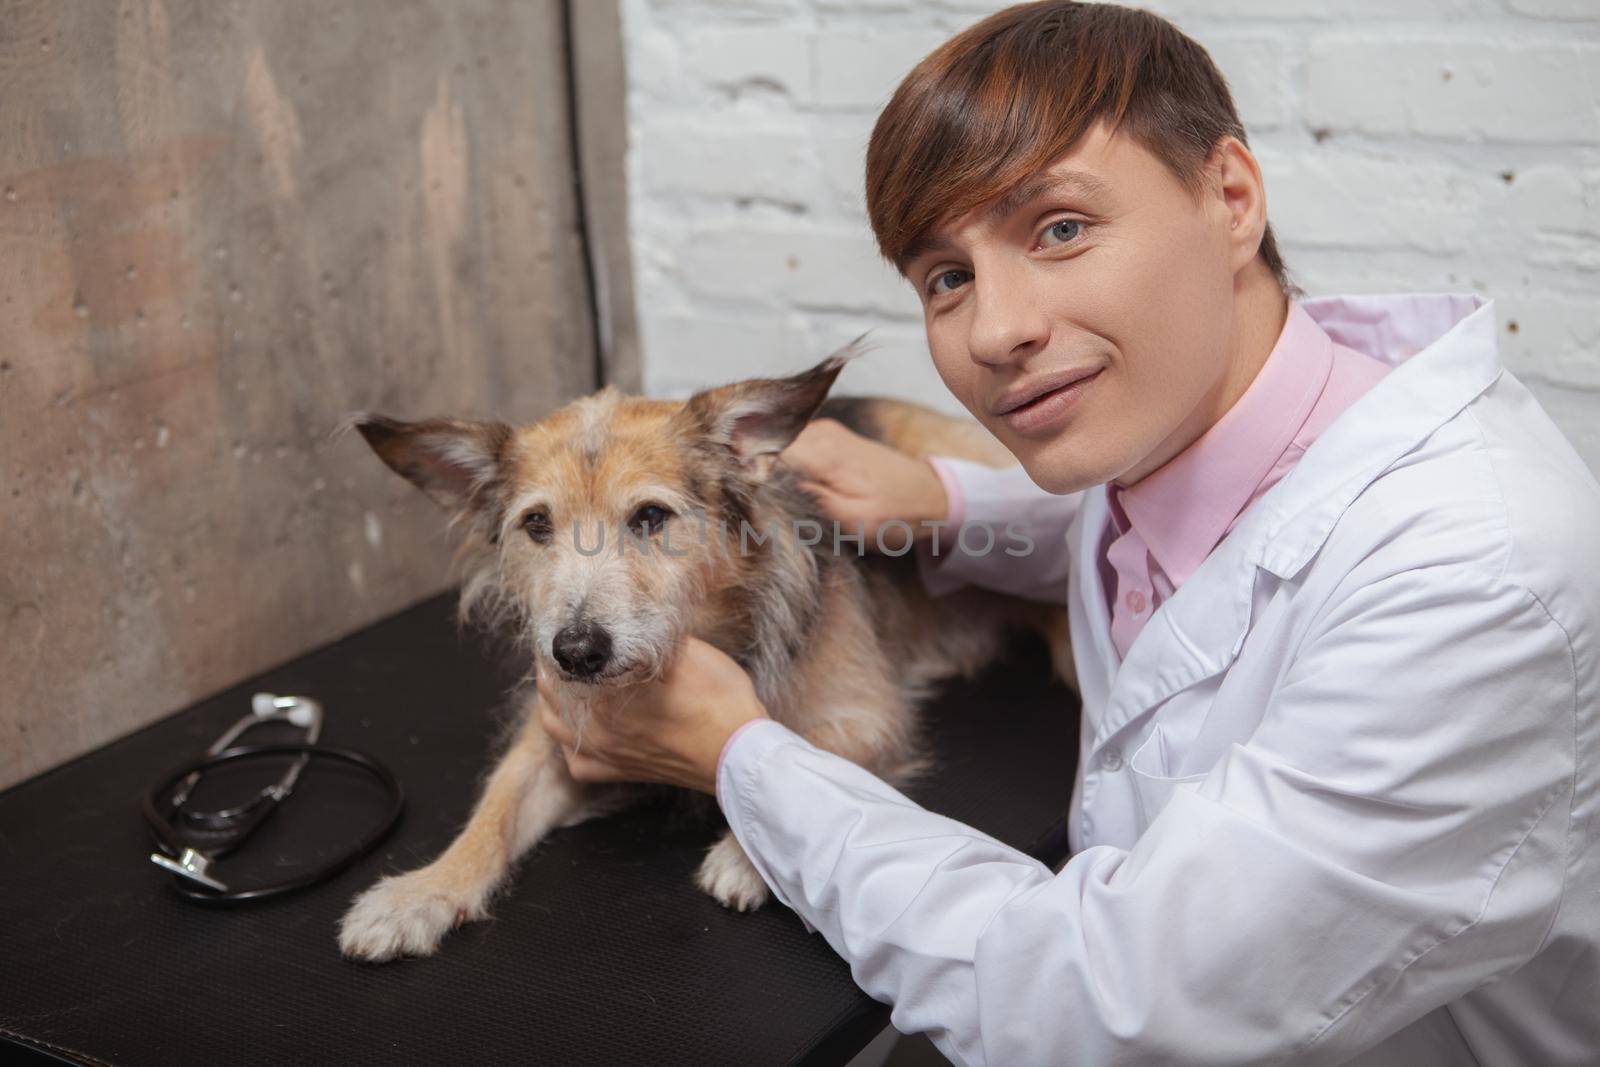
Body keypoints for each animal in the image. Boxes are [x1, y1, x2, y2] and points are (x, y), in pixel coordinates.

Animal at [334, 347, 1075, 966]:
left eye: (650, 517)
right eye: (536, 523)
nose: (575, 652)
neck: (710, 633)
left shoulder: (871, 717)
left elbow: (812, 755)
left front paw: (747, 857)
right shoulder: (553, 733)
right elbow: (495, 805)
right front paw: (424, 891)